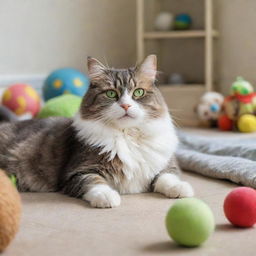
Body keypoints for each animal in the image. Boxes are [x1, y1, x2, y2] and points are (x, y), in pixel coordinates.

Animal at [0, 55, 193, 207]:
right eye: (111, 94)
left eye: (138, 92)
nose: (126, 105)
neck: (127, 135)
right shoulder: (78, 172)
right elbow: (95, 182)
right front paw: (107, 197)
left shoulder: (165, 165)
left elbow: (167, 177)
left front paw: (181, 189)